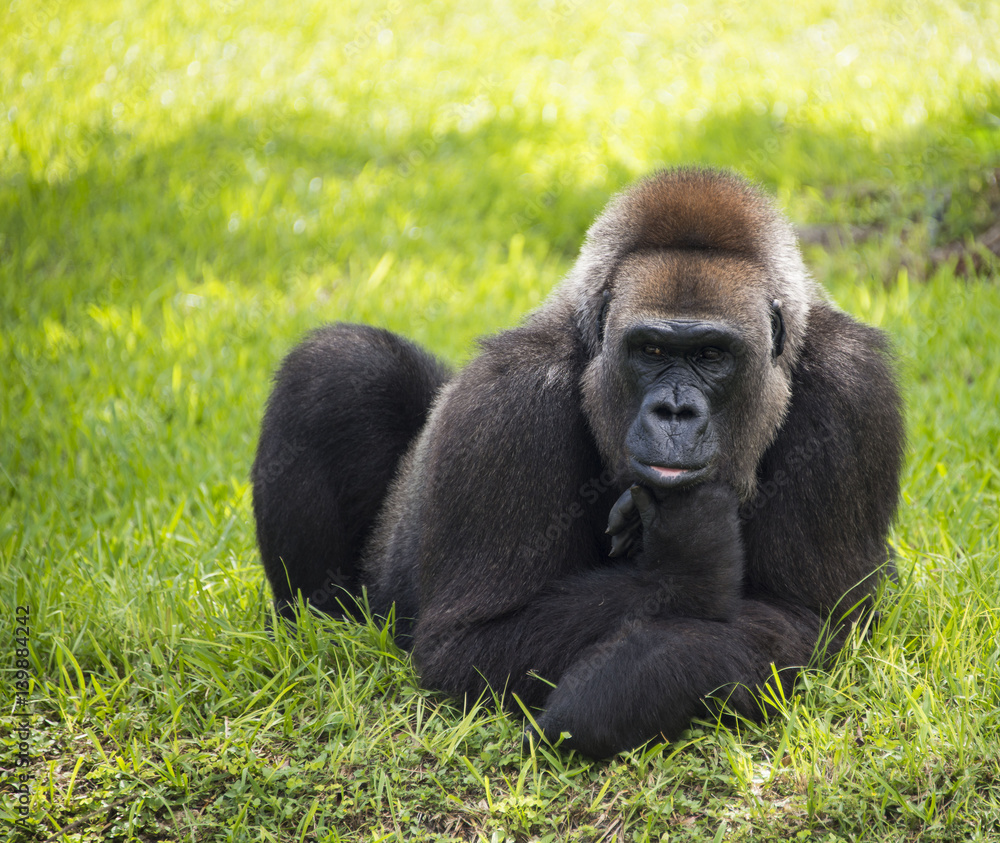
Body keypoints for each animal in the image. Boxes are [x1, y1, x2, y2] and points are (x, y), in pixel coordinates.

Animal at [251, 167, 904, 757]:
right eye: (653, 350)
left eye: (711, 355)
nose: (674, 412)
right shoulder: (507, 400)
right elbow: (466, 645)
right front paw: (684, 569)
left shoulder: (853, 389)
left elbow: (810, 619)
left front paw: (634, 676)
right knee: (339, 365)